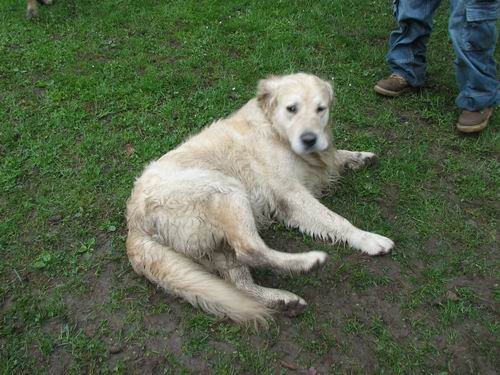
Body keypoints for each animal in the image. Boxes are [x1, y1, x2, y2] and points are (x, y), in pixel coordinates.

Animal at [126, 73, 394, 326]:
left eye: (321, 108)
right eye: (291, 108)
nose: (309, 139)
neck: (274, 128)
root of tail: (134, 223)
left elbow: (335, 156)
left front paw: (359, 156)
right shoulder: (291, 195)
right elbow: (336, 220)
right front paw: (368, 238)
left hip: (215, 244)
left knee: (240, 282)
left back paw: (282, 299)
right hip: (226, 188)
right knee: (249, 249)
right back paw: (309, 262)